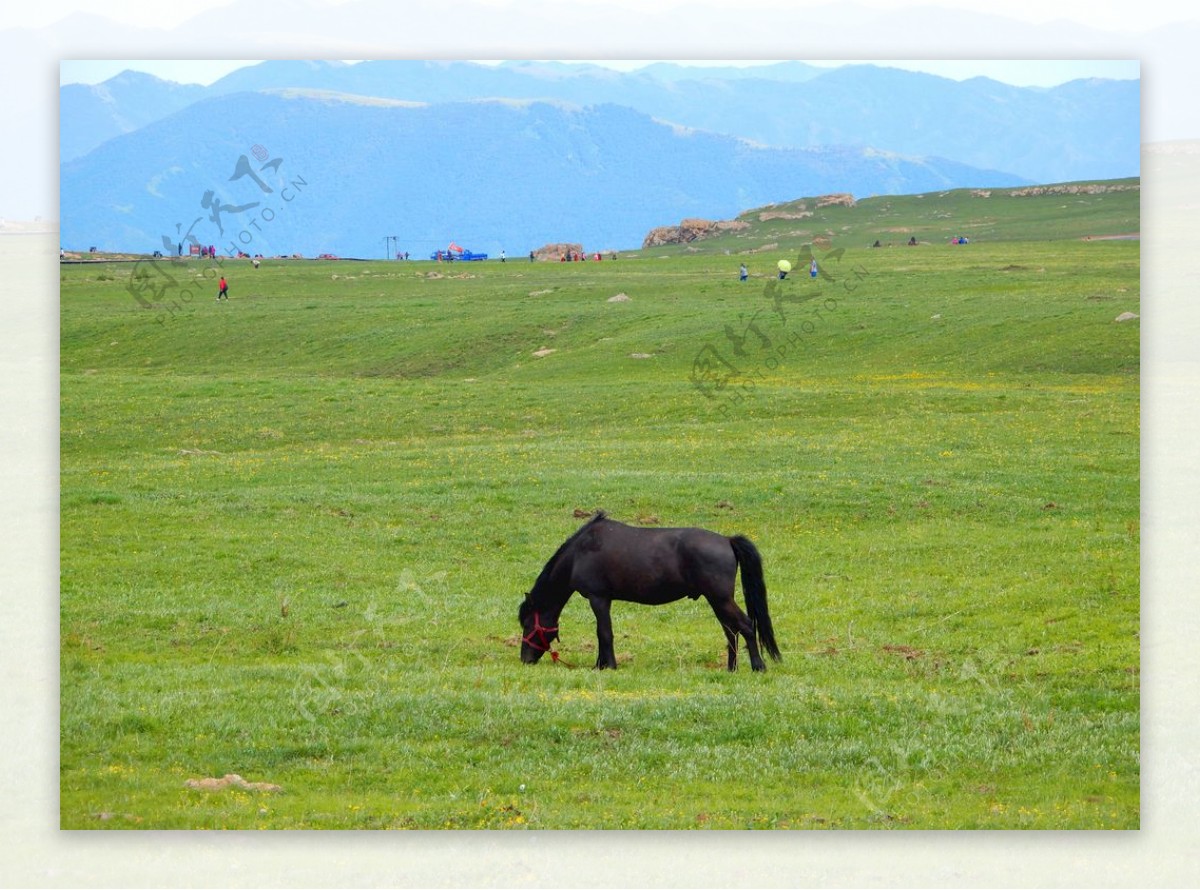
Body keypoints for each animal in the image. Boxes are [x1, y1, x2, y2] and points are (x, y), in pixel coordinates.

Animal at [518, 513, 782, 671]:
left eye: (527, 624)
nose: (525, 659)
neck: (579, 553)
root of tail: (727, 540)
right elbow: (602, 633)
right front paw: (600, 664)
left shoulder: (598, 598)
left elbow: (604, 632)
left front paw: (608, 665)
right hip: (717, 601)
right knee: (730, 631)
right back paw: (731, 668)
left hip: (720, 598)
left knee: (745, 625)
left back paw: (758, 666)